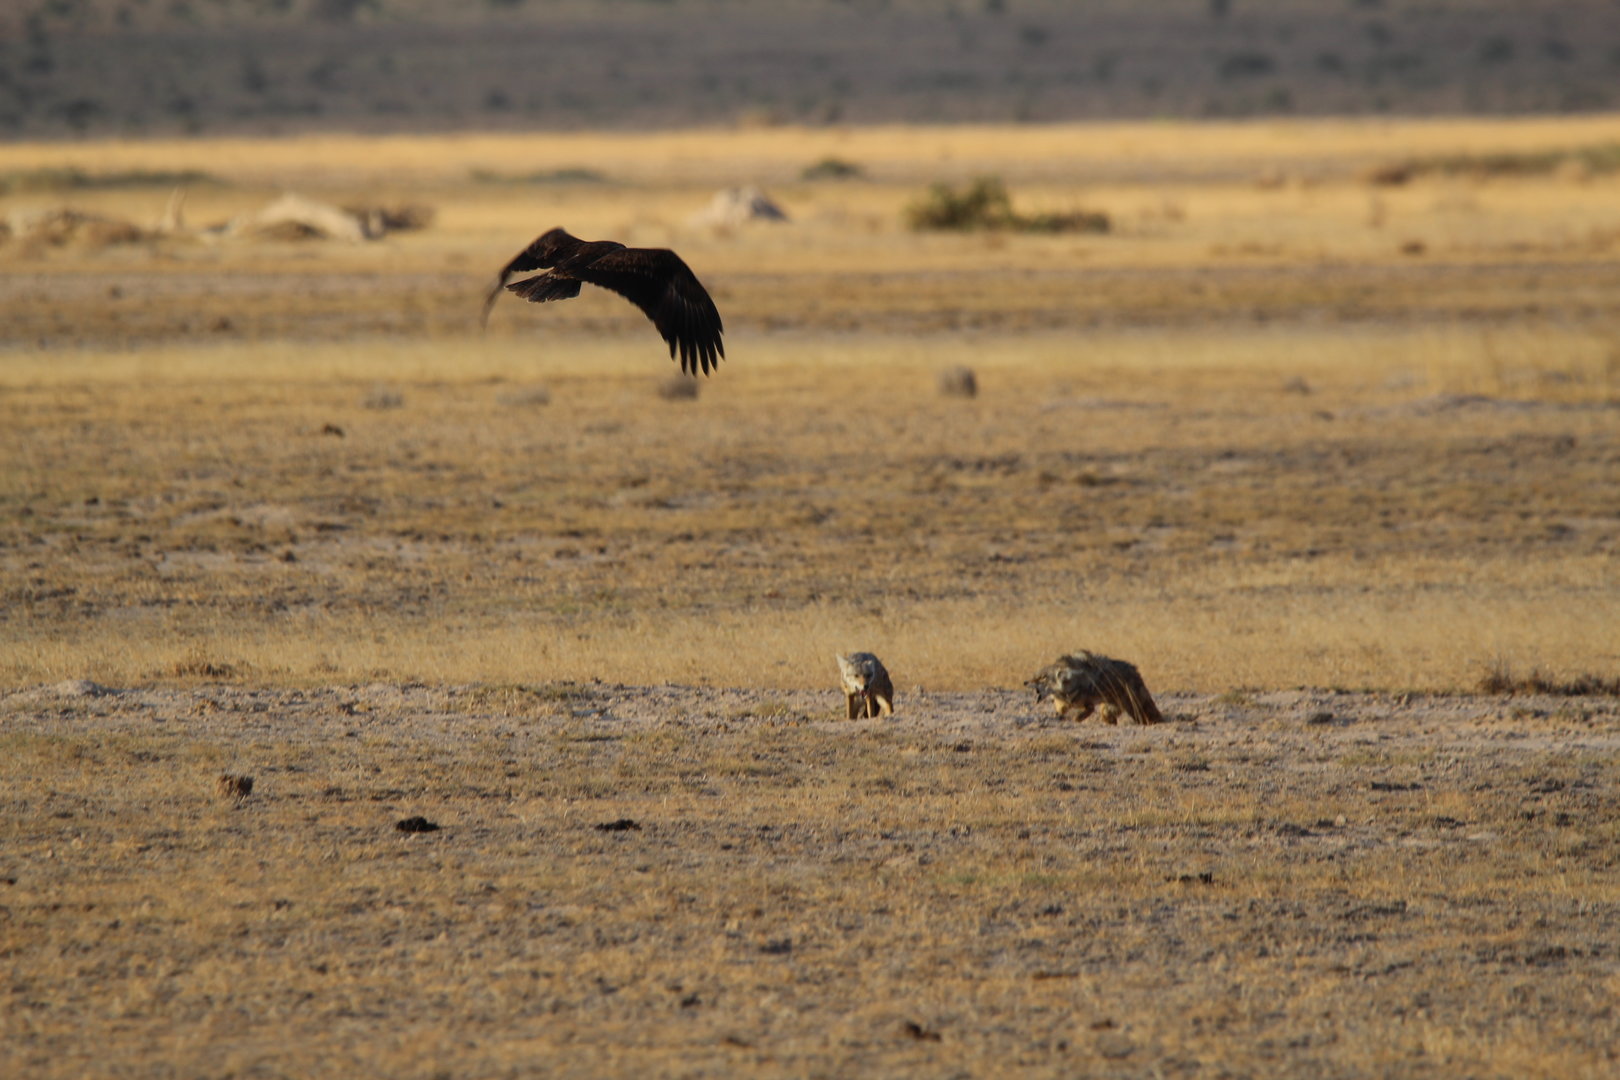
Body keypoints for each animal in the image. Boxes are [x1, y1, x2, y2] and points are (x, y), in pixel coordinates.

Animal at [1026, 651, 1163, 725]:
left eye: (1041, 678)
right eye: (1034, 677)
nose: (1024, 682)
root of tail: (1135, 670)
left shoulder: (1088, 704)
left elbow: (1083, 712)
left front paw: (1076, 718)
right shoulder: (1067, 703)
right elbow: (1061, 709)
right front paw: (1058, 715)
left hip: (1135, 709)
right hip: (1108, 711)